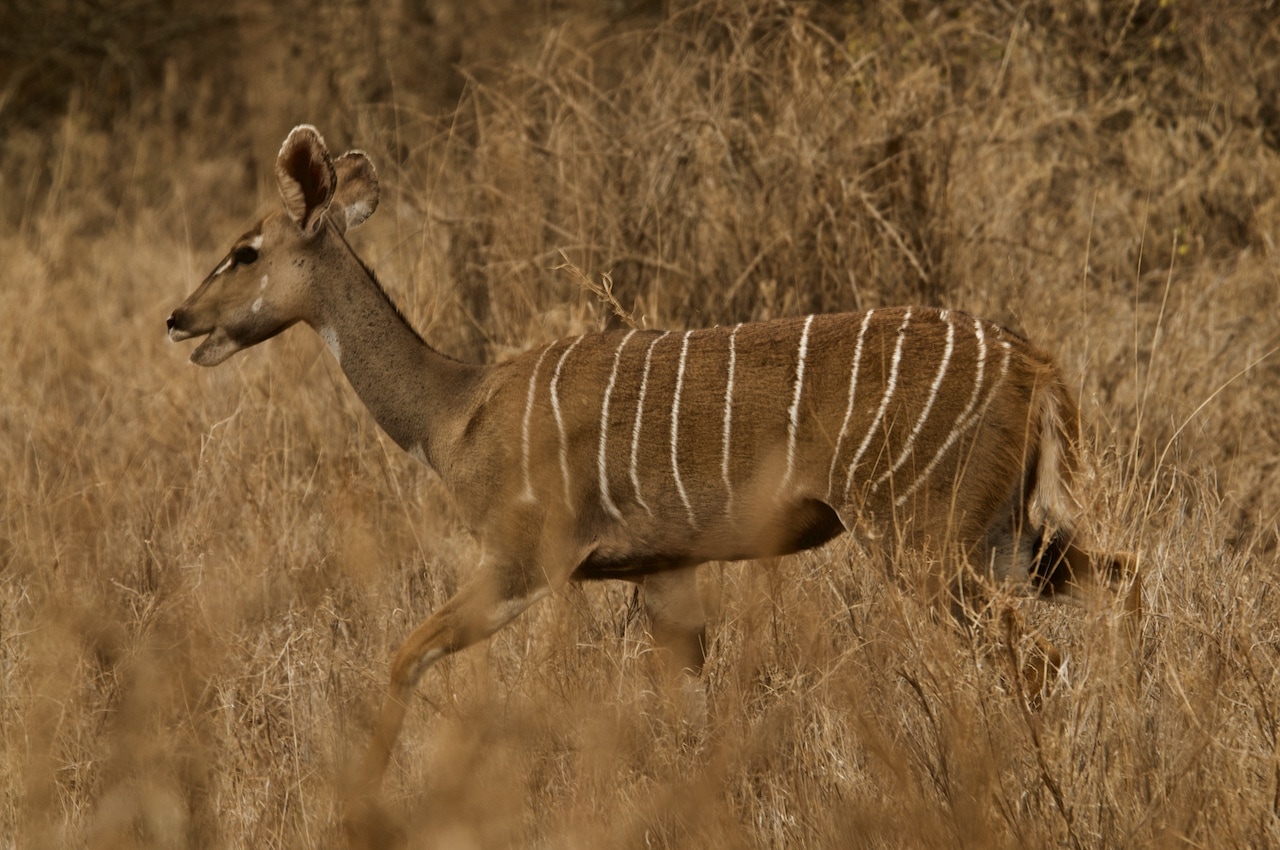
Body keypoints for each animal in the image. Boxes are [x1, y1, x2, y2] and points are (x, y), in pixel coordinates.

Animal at [165, 126, 1136, 803]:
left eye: (245, 251)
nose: (178, 318)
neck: (455, 411)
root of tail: (1034, 365)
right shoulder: (666, 573)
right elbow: (688, 721)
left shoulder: (528, 561)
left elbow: (408, 655)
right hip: (1007, 540)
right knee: (1117, 587)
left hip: (929, 542)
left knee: (1038, 657)